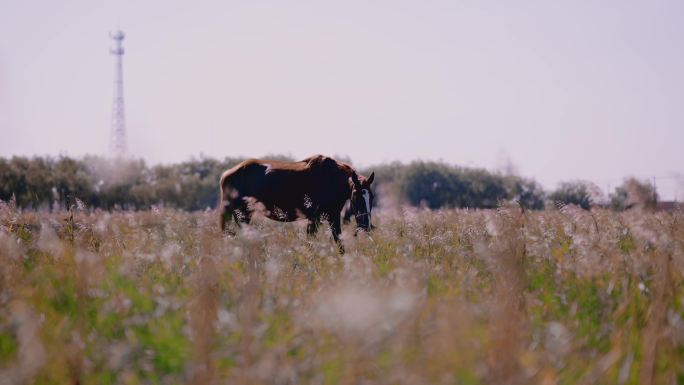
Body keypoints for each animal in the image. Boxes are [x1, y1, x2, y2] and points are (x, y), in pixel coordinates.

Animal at [219, 154, 374, 250]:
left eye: (371, 197)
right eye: (356, 195)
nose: (365, 226)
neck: (331, 179)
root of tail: (226, 174)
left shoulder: (333, 217)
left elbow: (340, 245)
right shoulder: (315, 219)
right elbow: (310, 244)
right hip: (242, 214)